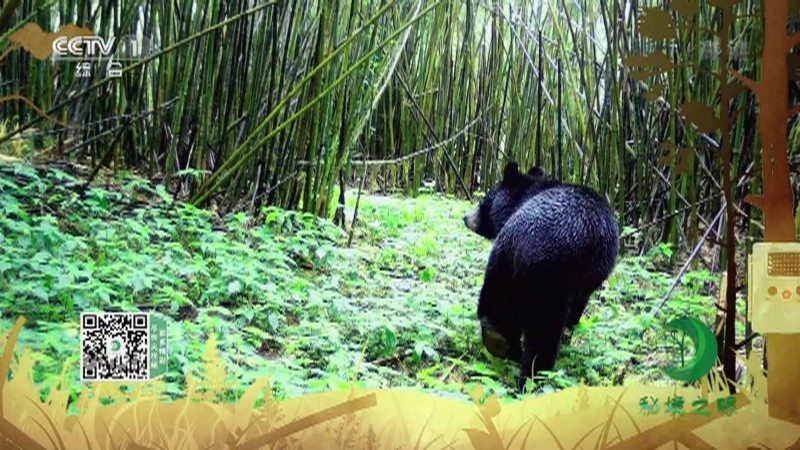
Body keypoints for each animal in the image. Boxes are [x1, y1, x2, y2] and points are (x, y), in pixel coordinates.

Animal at [462, 162, 619, 392]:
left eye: (483, 202)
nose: (465, 217)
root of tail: (524, 244)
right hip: (550, 284)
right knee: (543, 335)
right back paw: (533, 377)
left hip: (504, 264)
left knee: (496, 308)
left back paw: (500, 343)